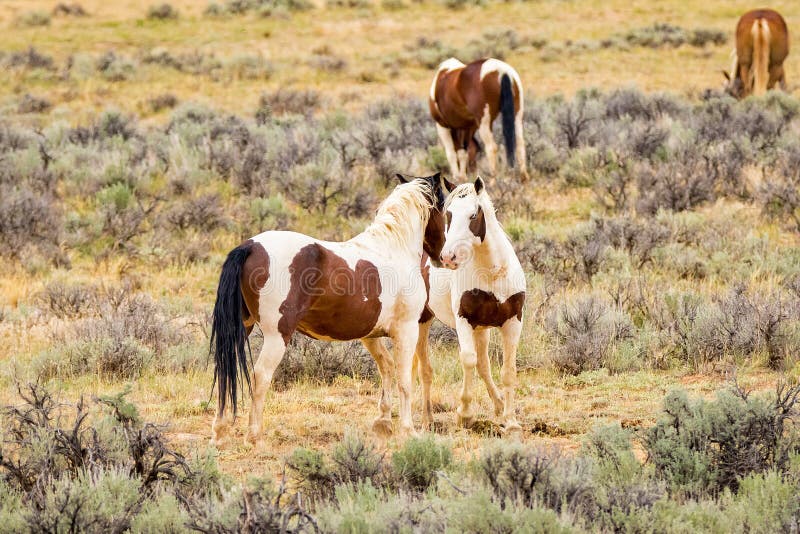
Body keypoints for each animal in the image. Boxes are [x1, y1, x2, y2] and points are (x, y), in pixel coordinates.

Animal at [209, 174, 454, 446]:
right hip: (277, 336)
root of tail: (251, 246)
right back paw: (254, 436)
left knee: (224, 368)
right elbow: (404, 380)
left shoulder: (370, 335)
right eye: (445, 209)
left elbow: (387, 368)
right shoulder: (407, 330)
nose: (444, 257)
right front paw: (409, 430)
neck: (393, 249)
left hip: (242, 327)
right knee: (261, 375)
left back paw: (219, 431)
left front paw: (383, 423)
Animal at [412, 178, 524, 438]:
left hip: (481, 329)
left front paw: (510, 420)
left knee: (484, 366)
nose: (448, 257)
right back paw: (426, 419)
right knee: (422, 370)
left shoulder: (513, 321)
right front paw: (465, 414)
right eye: (449, 214)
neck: (493, 273)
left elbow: (507, 370)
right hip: (421, 321)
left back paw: (498, 406)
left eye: (473, 215)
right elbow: (468, 360)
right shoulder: (464, 320)